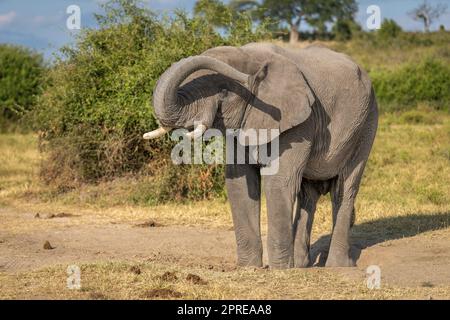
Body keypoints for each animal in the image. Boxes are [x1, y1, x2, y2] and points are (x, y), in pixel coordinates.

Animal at [143, 42, 376, 268]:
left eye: (224, 92)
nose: (251, 76)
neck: (249, 54)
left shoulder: (299, 122)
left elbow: (278, 182)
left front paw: (280, 270)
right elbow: (239, 183)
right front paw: (250, 268)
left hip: (365, 125)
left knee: (344, 189)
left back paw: (338, 266)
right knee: (308, 194)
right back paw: (301, 265)